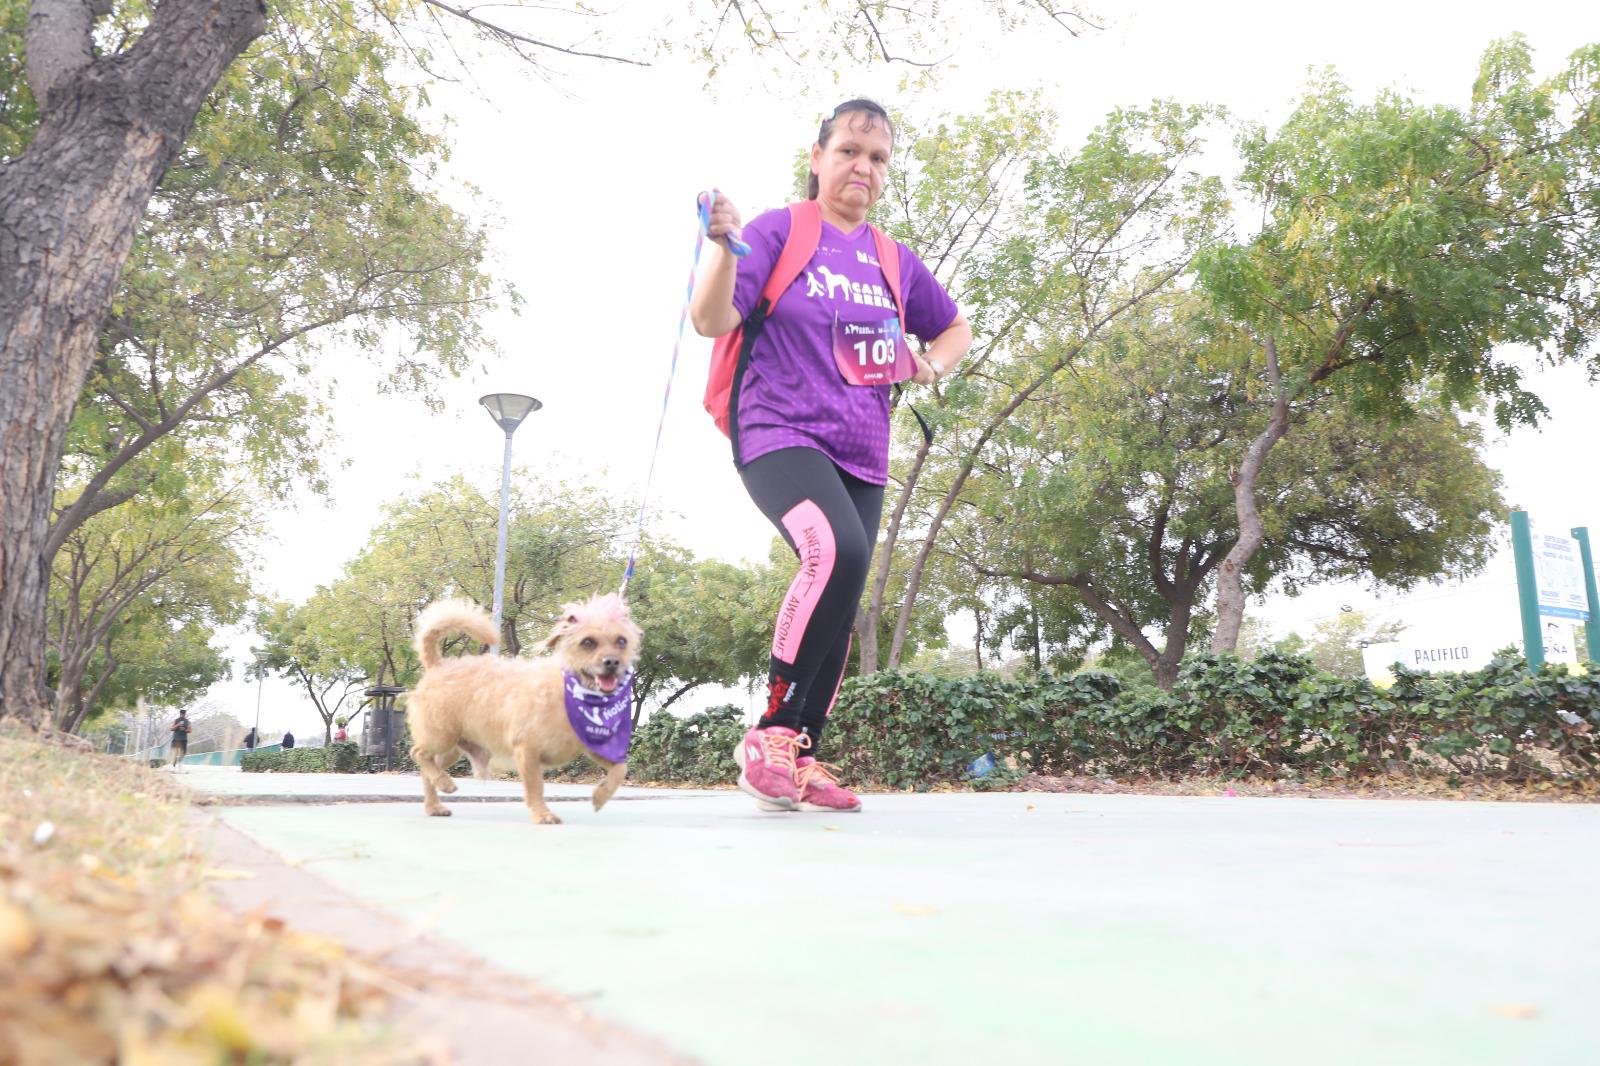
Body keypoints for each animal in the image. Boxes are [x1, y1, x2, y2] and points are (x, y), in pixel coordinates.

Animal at [406, 589, 643, 819]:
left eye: (622, 641)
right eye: (587, 642)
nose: (612, 662)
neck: (569, 692)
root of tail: (438, 665)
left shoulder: (593, 748)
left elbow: (620, 769)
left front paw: (601, 796)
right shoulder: (527, 751)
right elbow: (536, 786)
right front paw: (542, 814)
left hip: (452, 748)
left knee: (427, 769)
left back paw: (434, 804)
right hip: (440, 737)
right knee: (417, 754)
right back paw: (444, 782)